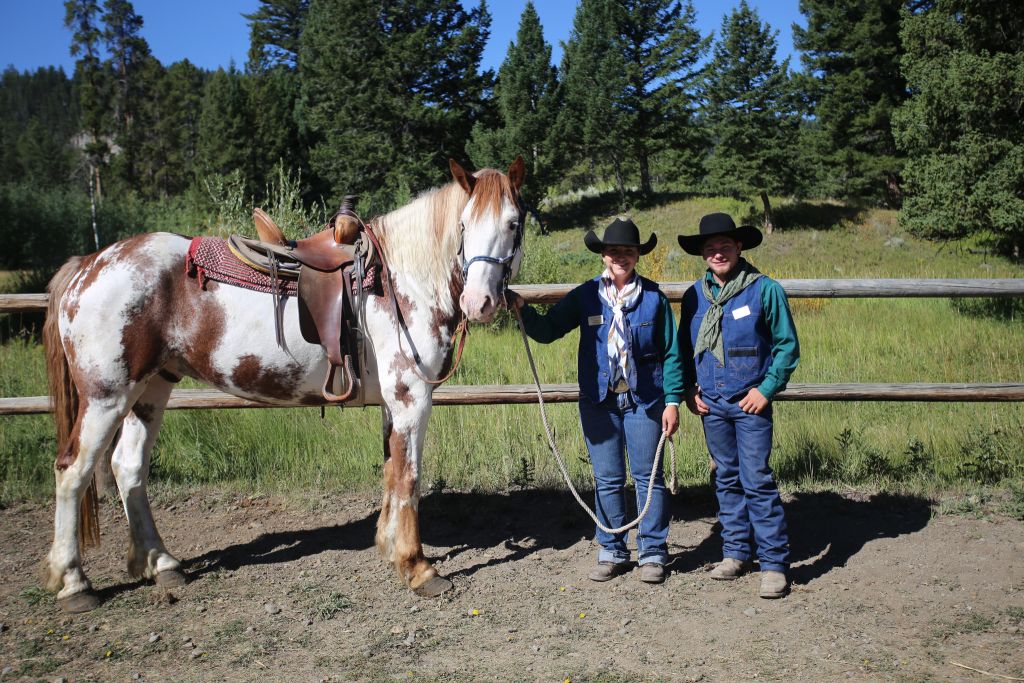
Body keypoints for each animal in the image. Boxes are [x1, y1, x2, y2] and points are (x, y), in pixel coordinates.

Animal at [43, 157, 524, 610]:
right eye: (464, 225)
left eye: (513, 223)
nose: (479, 302)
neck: (403, 281)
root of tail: (89, 265)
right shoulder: (411, 396)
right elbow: (409, 477)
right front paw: (418, 568)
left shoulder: (393, 400)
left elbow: (391, 470)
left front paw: (389, 549)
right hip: (107, 396)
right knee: (73, 470)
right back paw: (73, 584)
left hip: (150, 390)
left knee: (128, 467)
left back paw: (162, 565)